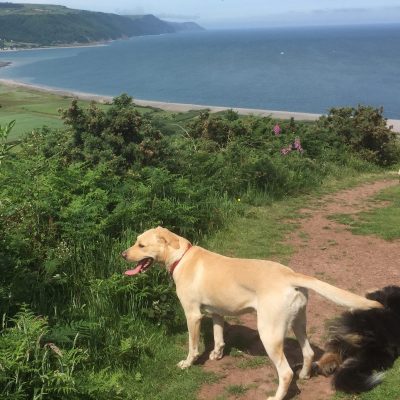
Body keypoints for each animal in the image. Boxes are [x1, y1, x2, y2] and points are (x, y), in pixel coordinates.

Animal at [121, 227, 382, 398]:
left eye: (141, 245)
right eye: (135, 241)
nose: (123, 255)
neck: (181, 257)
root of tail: (291, 275)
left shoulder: (193, 315)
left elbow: (193, 346)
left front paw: (188, 363)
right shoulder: (217, 312)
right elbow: (218, 337)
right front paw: (216, 355)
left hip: (269, 333)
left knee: (285, 372)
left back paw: (277, 396)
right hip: (298, 323)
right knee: (308, 353)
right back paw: (305, 376)